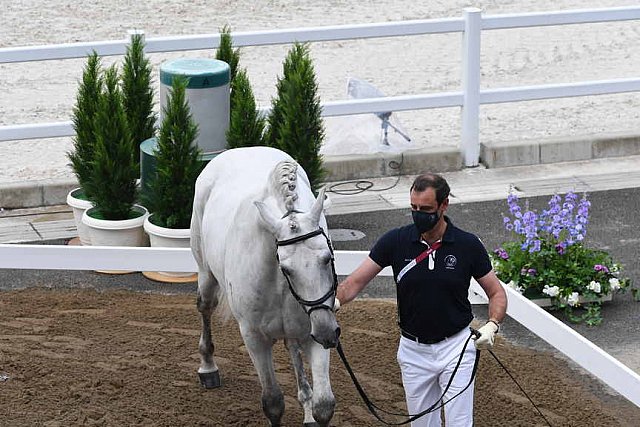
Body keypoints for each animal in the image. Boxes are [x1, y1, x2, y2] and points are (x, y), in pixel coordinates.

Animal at [190, 147, 340, 427]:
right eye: (286, 268)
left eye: (328, 257)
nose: (329, 333)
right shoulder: (254, 338)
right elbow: (273, 403)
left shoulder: (313, 332)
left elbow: (324, 405)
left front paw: (311, 410)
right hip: (205, 274)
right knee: (205, 307)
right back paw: (208, 367)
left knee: (293, 348)